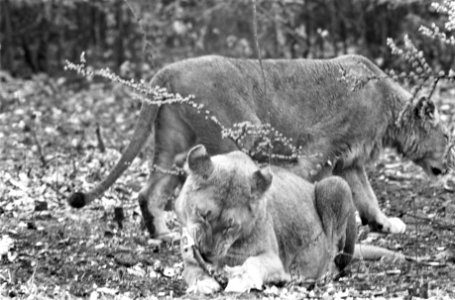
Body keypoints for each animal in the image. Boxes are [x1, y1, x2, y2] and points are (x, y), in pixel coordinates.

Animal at [68, 54, 452, 237]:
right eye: (448, 138)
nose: (449, 166)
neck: (389, 108)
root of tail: (166, 70)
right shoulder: (318, 150)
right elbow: (312, 187)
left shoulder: (350, 161)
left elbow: (368, 197)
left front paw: (384, 223)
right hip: (238, 133)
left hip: (173, 144)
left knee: (149, 192)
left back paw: (161, 235)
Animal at [176, 145, 358, 292]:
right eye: (203, 215)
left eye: (230, 226)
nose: (205, 253)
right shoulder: (190, 262)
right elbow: (194, 272)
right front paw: (203, 284)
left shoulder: (275, 260)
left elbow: (252, 263)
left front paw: (240, 280)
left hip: (336, 186)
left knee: (333, 255)